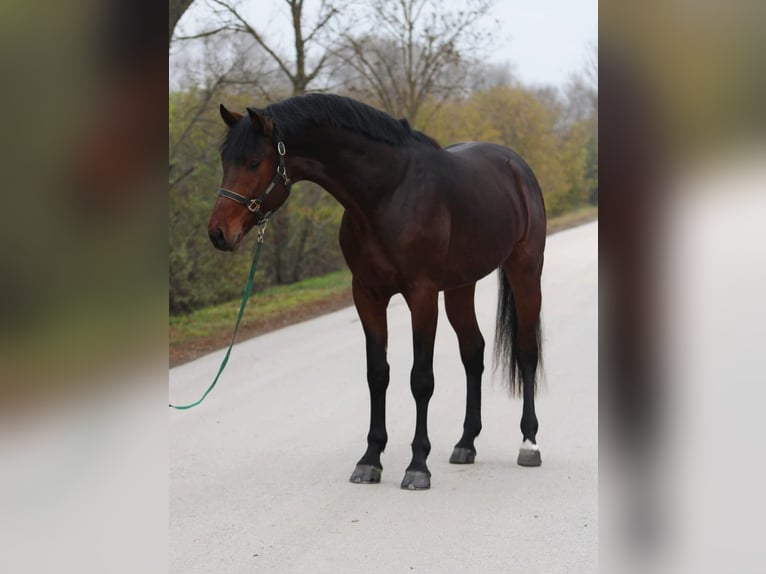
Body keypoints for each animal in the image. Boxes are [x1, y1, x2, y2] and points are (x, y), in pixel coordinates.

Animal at [208, 94, 544, 490]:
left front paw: (417, 465)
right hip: (461, 286)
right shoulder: (367, 295)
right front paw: (370, 459)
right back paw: (465, 443)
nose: (218, 232)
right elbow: (377, 374)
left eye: (253, 162)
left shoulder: (422, 295)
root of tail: (515, 165)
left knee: (526, 352)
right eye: (224, 160)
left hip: (525, 271)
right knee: (473, 352)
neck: (388, 194)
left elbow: (421, 379)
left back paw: (529, 443)